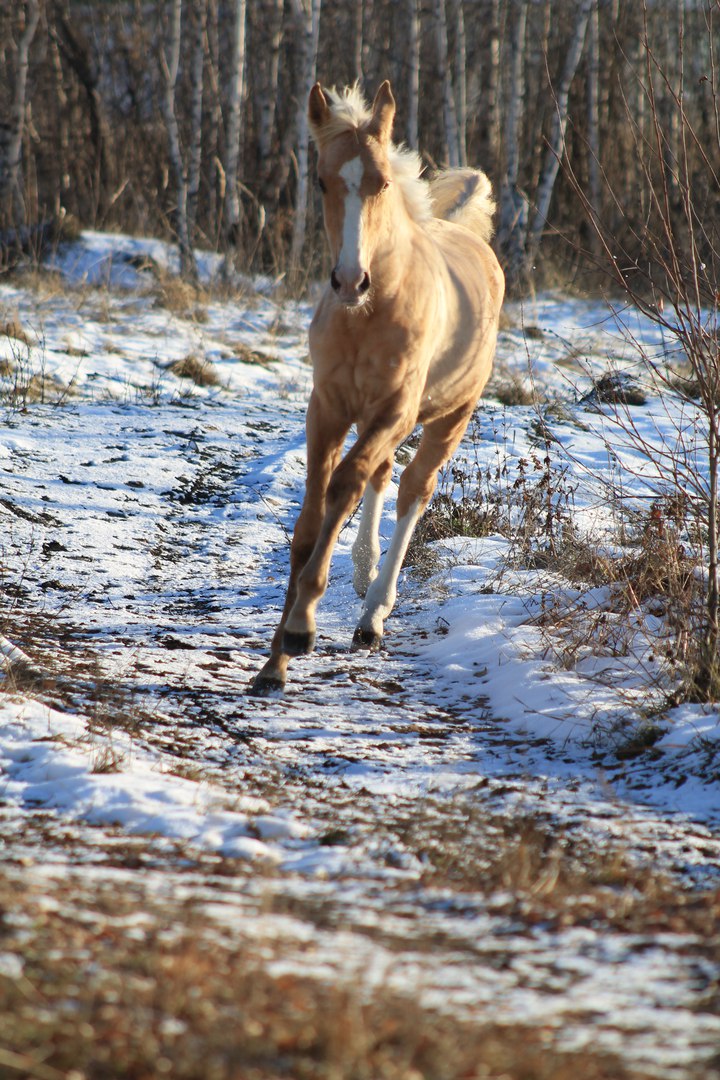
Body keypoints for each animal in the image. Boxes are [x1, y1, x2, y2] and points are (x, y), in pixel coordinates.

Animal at [250, 82, 505, 691]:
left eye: (382, 181)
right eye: (322, 181)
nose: (349, 281)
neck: (369, 314)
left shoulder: (395, 409)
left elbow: (342, 488)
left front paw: (301, 629)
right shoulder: (327, 406)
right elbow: (310, 518)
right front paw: (274, 662)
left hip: (448, 417)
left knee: (414, 488)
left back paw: (372, 617)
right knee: (384, 475)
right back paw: (364, 578)